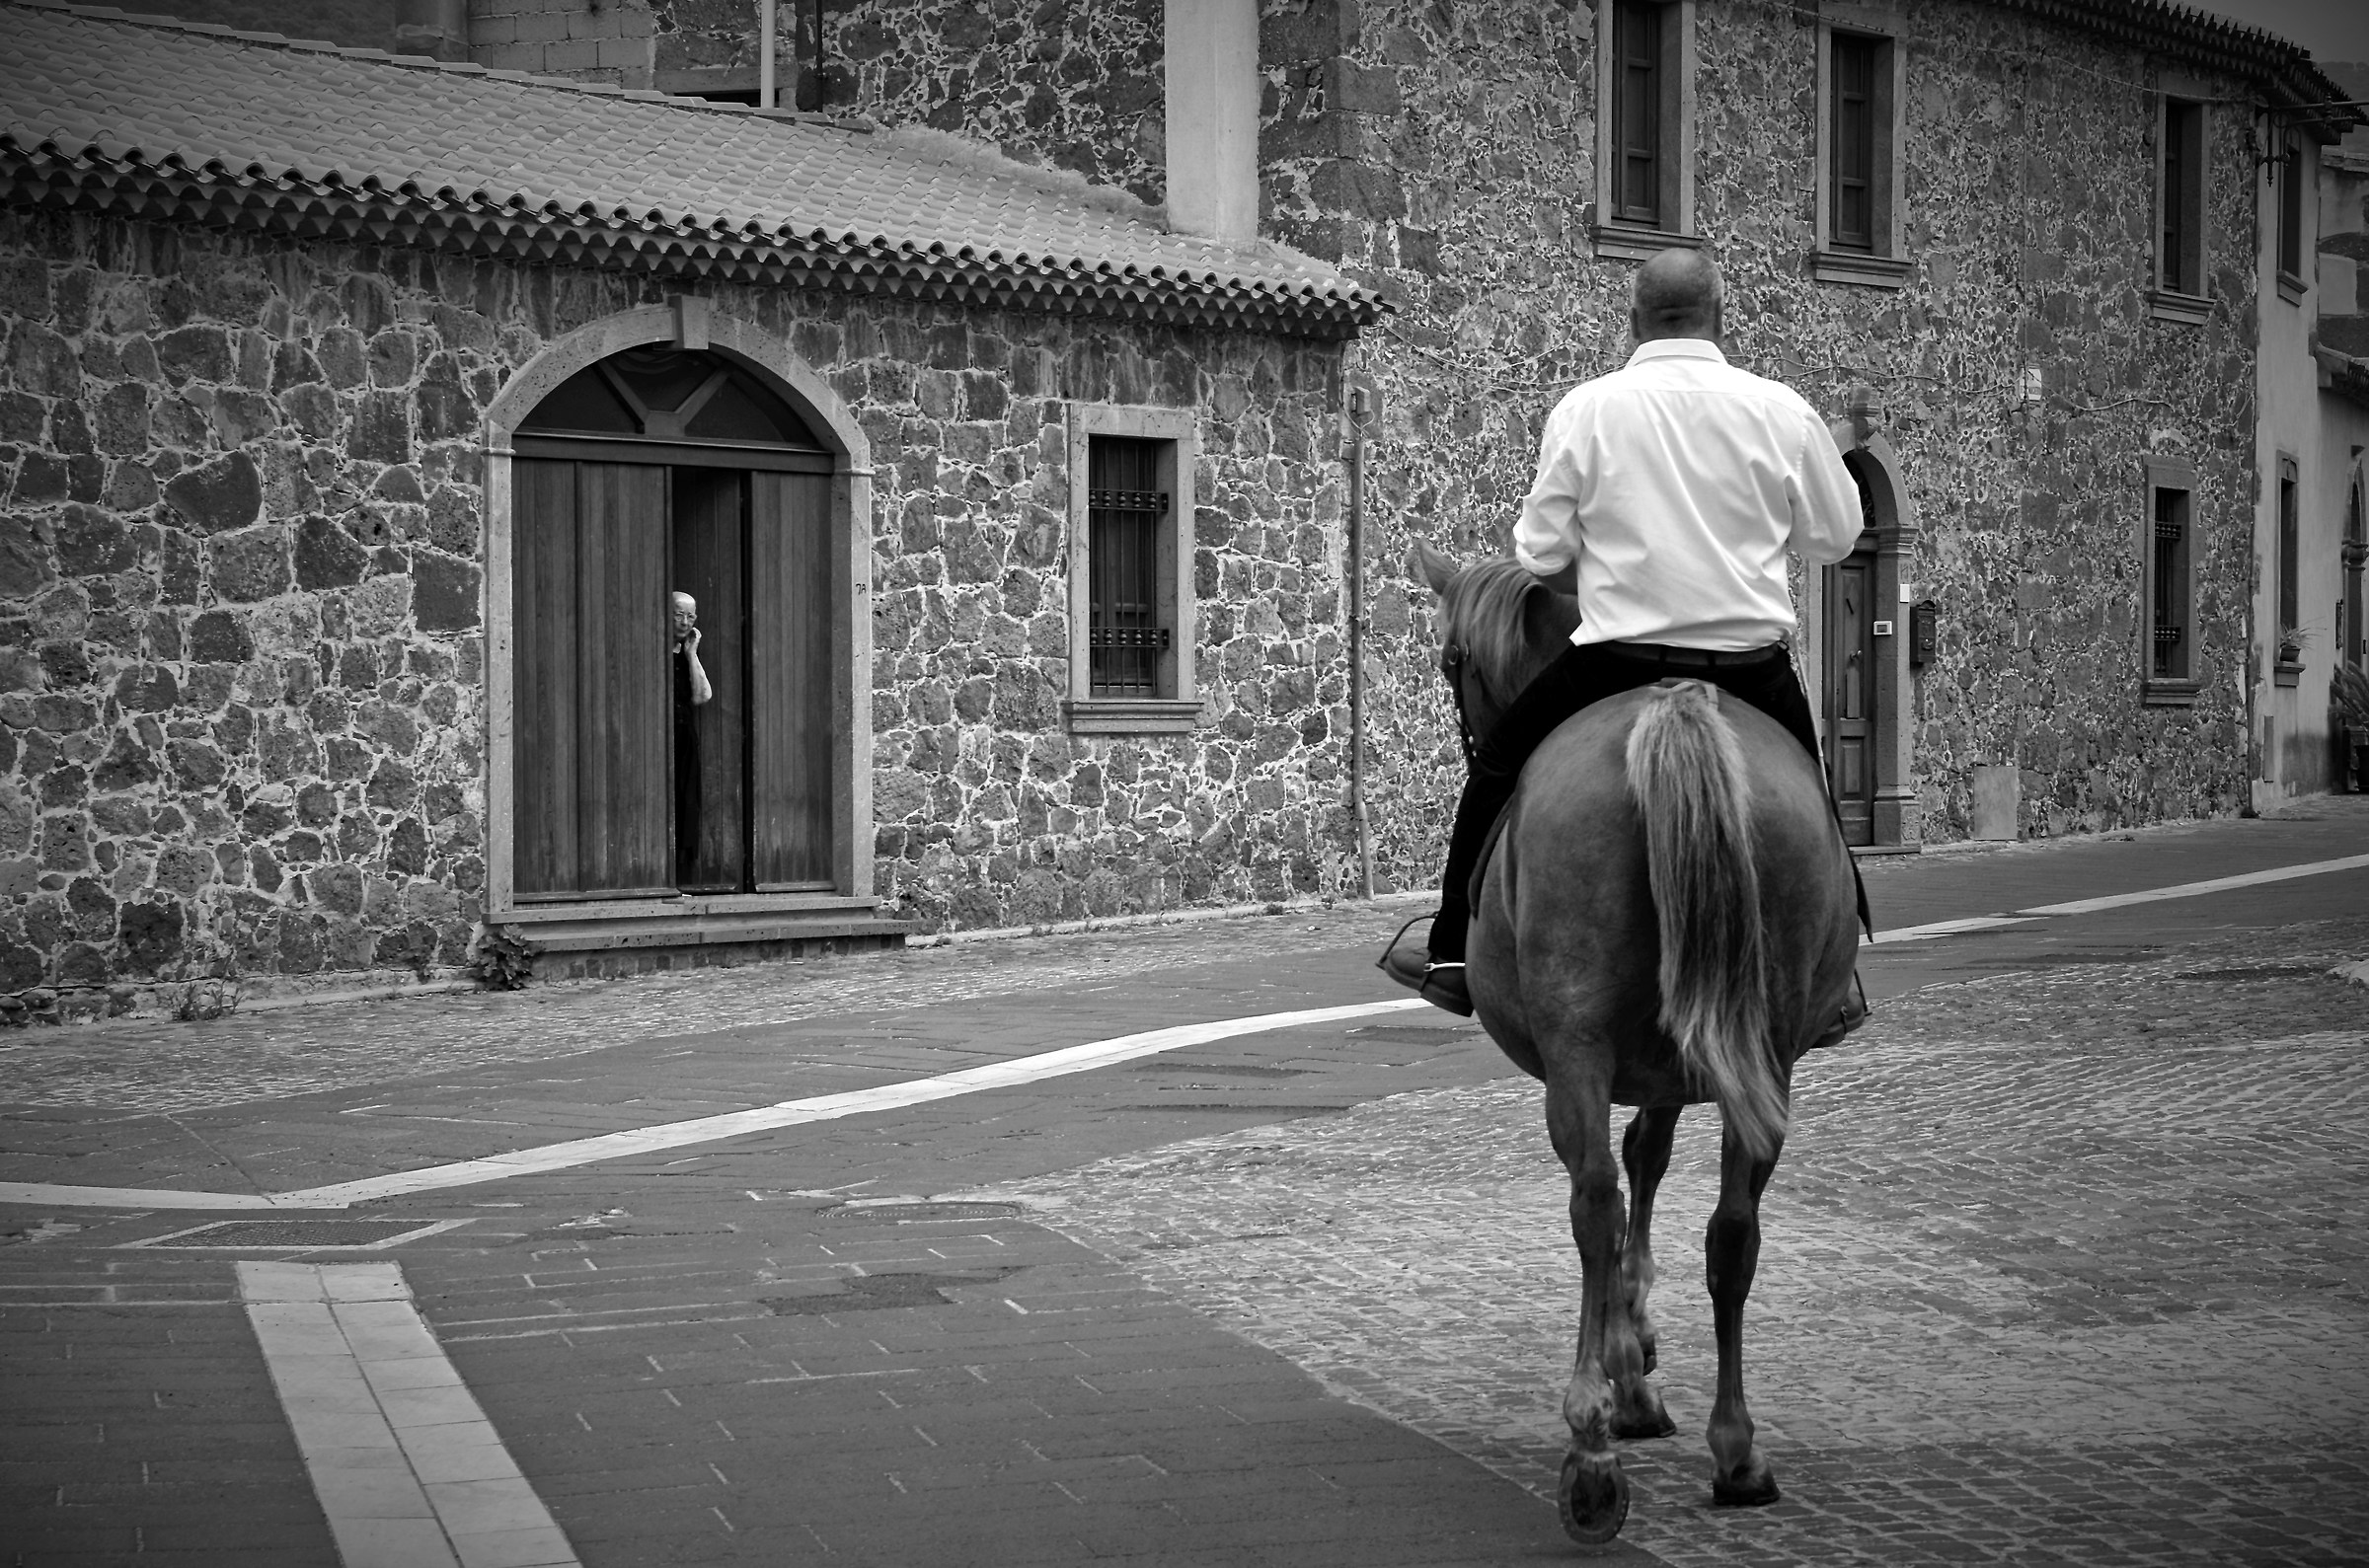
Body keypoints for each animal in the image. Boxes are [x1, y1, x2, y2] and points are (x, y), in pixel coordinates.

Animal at [1411, 542, 1861, 1547]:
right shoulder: (1678, 1062)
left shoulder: (1623, 1065)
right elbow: (1651, 1162)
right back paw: (1736, 1452)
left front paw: (1627, 1364)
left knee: (1594, 1200)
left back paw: (1591, 1448)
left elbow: (1630, 1176)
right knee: (1731, 1230)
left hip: (1578, 1049)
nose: (1471, 735)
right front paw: (1639, 1356)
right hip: (1763, 1050)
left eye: (1454, 662)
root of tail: (1674, 702)